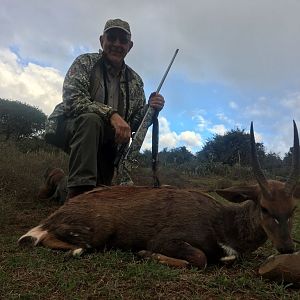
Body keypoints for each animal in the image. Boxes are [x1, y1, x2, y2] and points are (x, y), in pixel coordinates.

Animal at [19, 122, 300, 270]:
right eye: (265, 207)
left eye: (292, 209)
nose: (287, 247)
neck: (222, 223)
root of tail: (55, 216)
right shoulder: (168, 239)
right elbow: (199, 259)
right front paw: (144, 254)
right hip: (96, 233)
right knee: (38, 240)